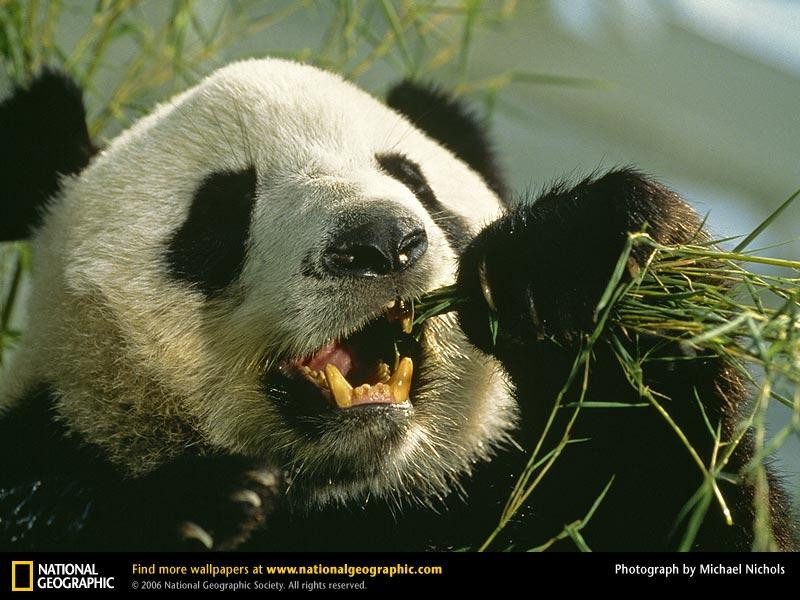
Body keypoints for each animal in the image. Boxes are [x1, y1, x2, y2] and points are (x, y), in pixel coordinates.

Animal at [0, 58, 792, 552]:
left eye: (412, 179)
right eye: (221, 213)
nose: (380, 243)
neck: (355, 497)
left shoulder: (510, 484)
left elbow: (688, 497)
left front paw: (578, 256)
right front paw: (195, 509)